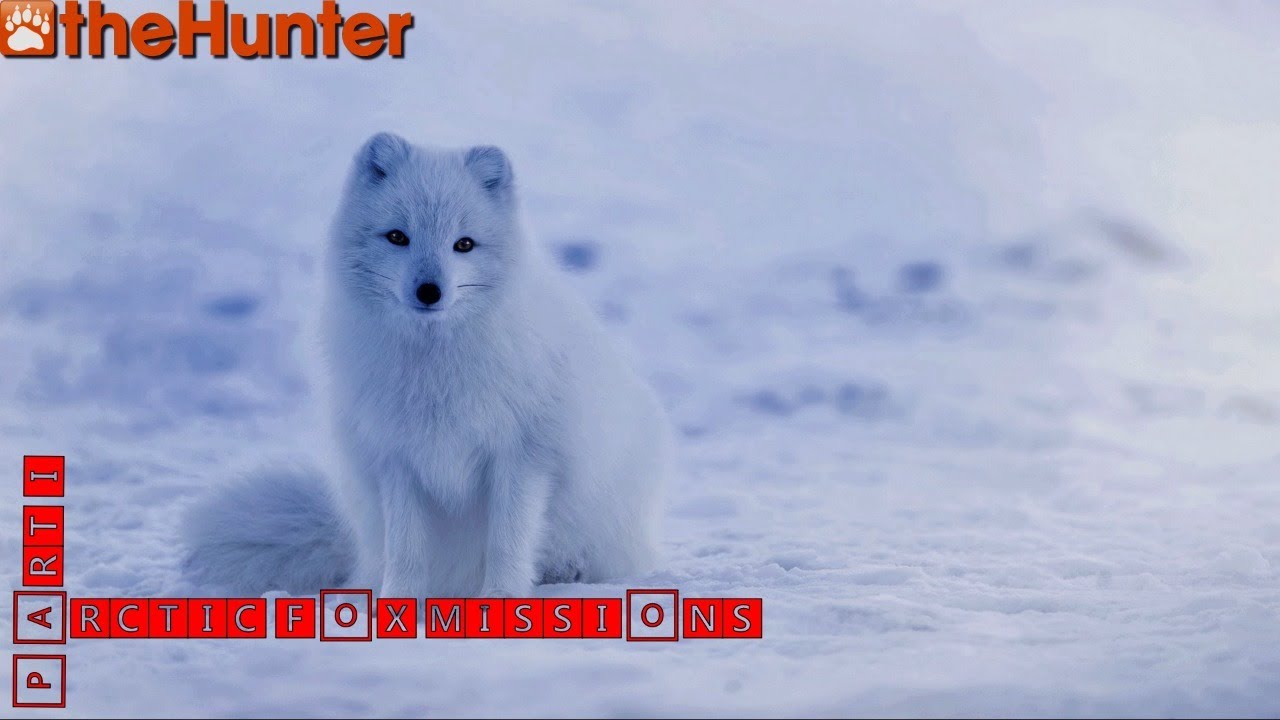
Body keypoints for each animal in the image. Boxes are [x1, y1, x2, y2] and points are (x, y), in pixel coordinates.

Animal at [183, 133, 671, 598]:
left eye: (464, 244)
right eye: (398, 236)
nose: (429, 291)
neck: (434, 368)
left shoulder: (524, 455)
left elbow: (508, 539)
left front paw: (502, 597)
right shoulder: (397, 459)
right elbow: (407, 548)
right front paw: (399, 602)